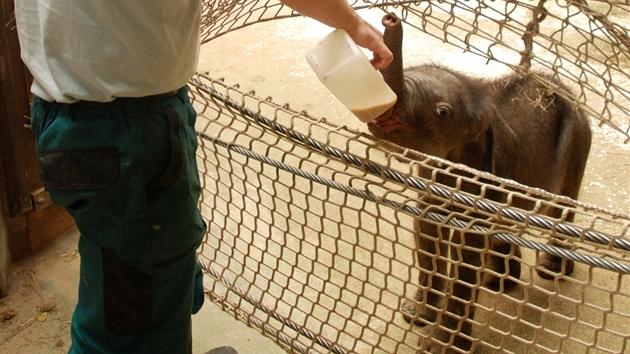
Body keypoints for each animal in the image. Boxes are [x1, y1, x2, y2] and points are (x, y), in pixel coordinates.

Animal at [368, 13, 596, 352]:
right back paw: (498, 281)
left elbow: (468, 254)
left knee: (560, 205)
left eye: (442, 112)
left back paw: (549, 271)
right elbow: (426, 230)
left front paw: (439, 346)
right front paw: (414, 315)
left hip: (580, 139)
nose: (391, 18)